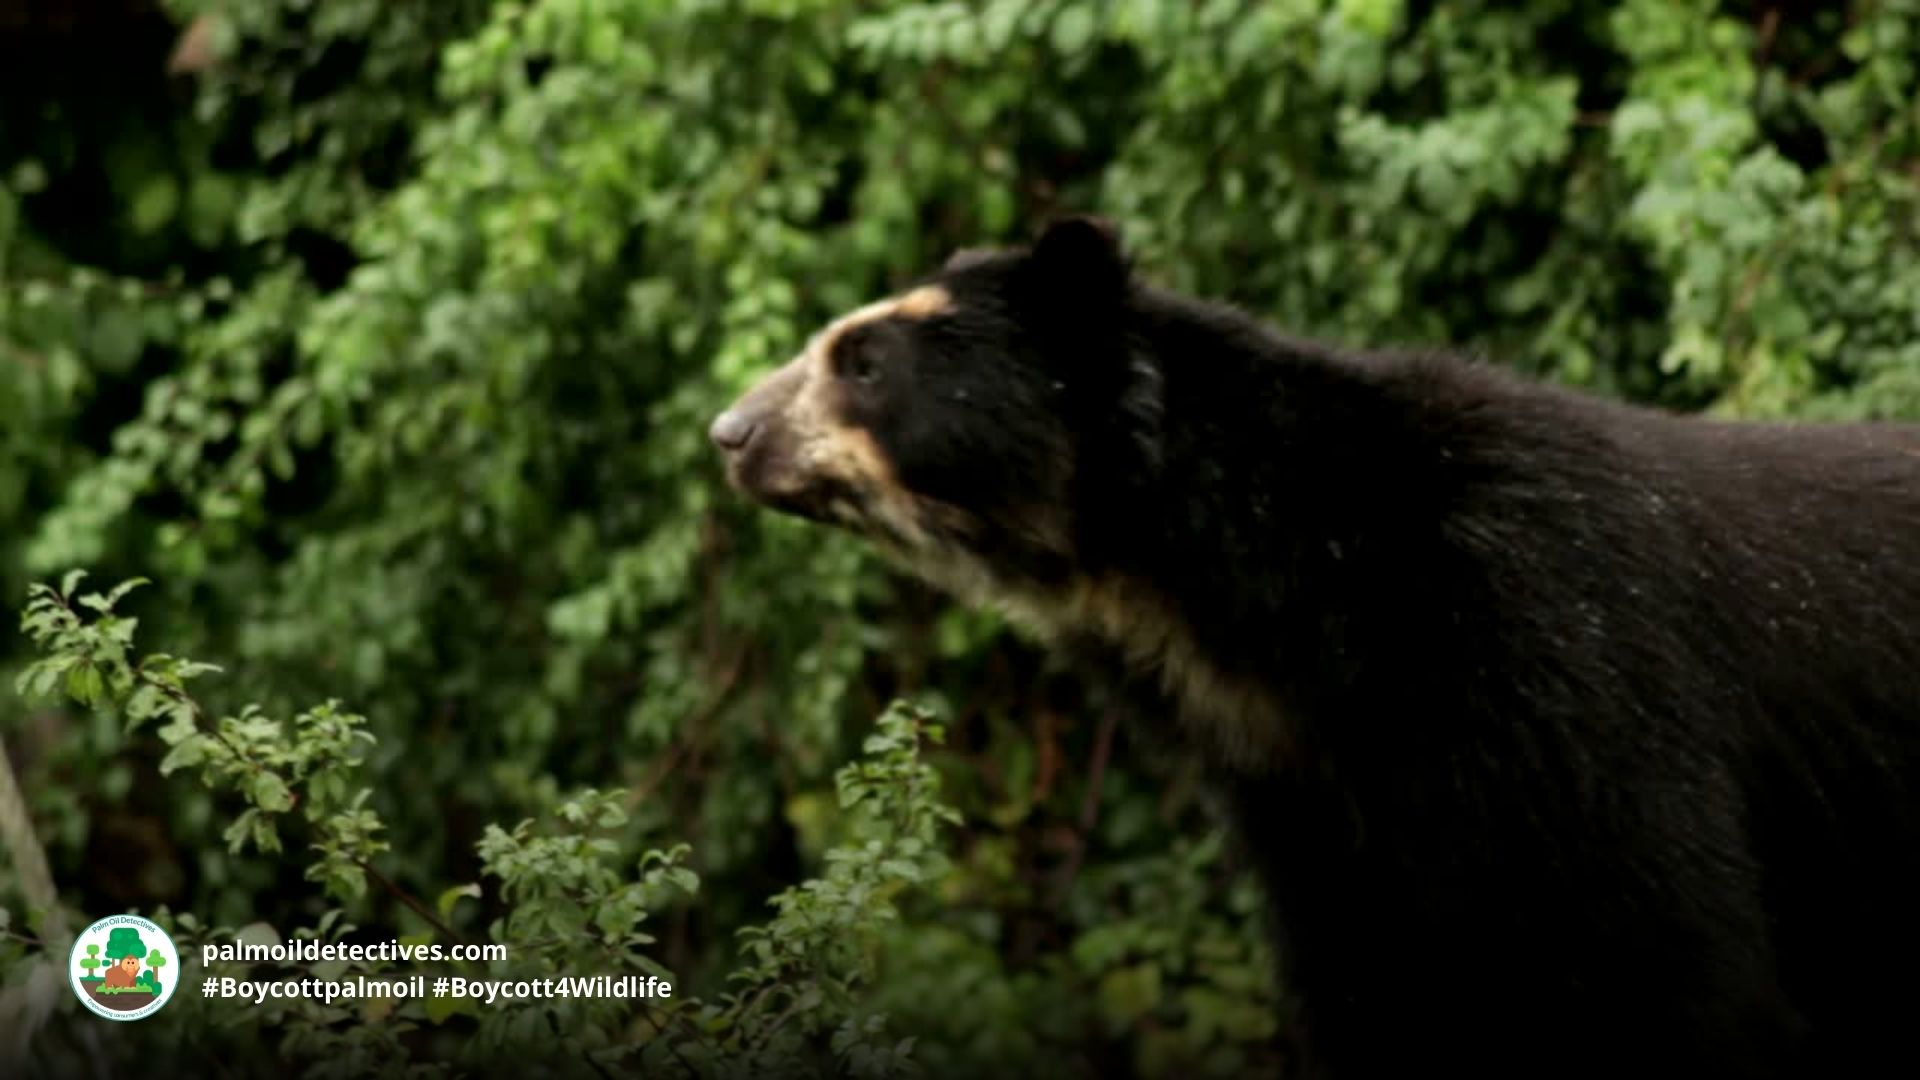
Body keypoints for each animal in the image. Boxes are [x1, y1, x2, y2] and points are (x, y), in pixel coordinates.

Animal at [708, 216, 1920, 1080]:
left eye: (865, 362)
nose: (730, 432)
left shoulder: (1566, 669)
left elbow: (1670, 964)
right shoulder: (1313, 800)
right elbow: (1368, 991)